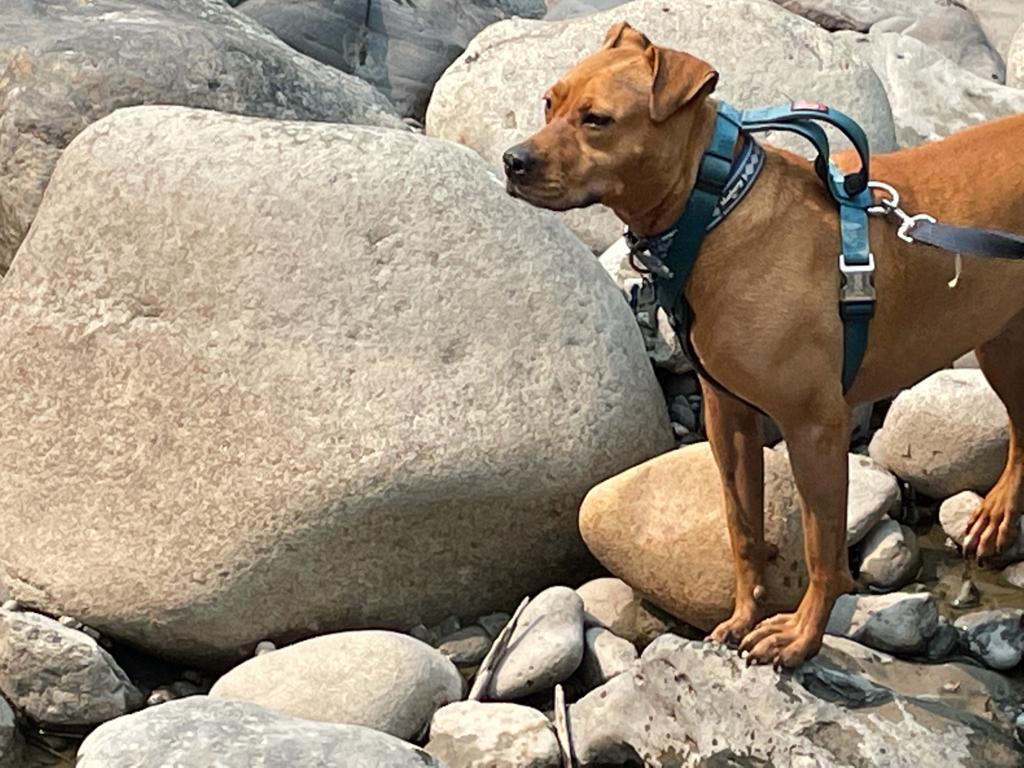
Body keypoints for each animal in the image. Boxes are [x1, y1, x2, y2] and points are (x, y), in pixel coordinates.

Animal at [503, 22, 1024, 667]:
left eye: (597, 119)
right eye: (549, 103)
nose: (512, 161)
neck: (713, 211)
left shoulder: (814, 427)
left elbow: (824, 552)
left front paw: (799, 638)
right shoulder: (728, 417)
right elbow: (742, 531)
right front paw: (742, 617)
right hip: (1002, 341)